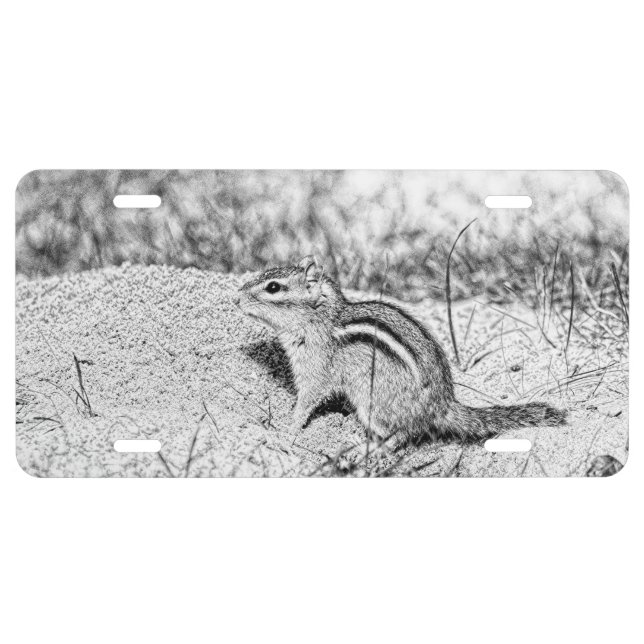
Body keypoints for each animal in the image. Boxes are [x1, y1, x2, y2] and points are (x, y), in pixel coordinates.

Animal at [236, 256, 566, 447]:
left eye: (273, 287)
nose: (236, 299)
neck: (321, 319)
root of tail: (442, 406)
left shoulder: (315, 370)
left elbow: (306, 402)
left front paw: (287, 429)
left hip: (373, 404)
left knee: (403, 435)